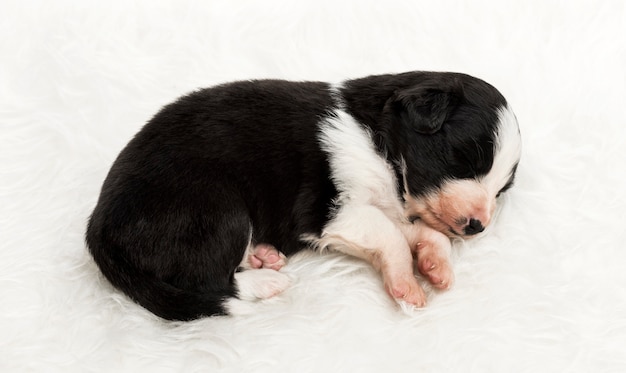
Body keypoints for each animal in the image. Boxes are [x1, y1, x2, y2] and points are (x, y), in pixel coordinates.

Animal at [85, 72, 520, 320]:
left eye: (502, 189)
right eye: (464, 160)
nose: (478, 227)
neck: (379, 143)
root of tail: (98, 232)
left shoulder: (377, 210)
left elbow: (414, 232)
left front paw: (435, 265)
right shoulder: (328, 212)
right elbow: (392, 236)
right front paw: (407, 287)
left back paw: (263, 256)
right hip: (217, 208)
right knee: (207, 282)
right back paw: (266, 282)